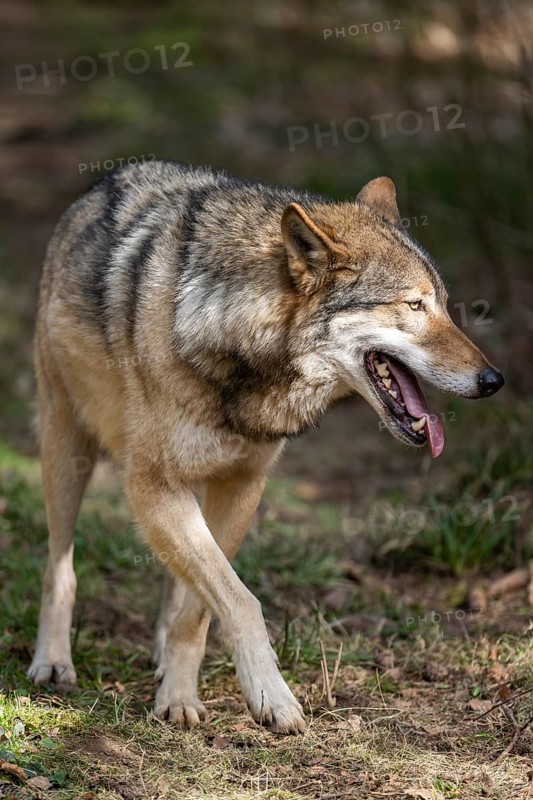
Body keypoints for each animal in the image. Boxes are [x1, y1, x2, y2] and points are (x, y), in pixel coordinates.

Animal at [28, 161, 504, 734]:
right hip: (66, 454)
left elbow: (203, 608)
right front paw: (269, 694)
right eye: (413, 305)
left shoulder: (242, 485)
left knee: (177, 582)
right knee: (60, 567)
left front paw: (180, 691)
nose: (494, 380)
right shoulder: (152, 486)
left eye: (446, 308)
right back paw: (53, 661)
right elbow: (240, 601)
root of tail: (109, 178)